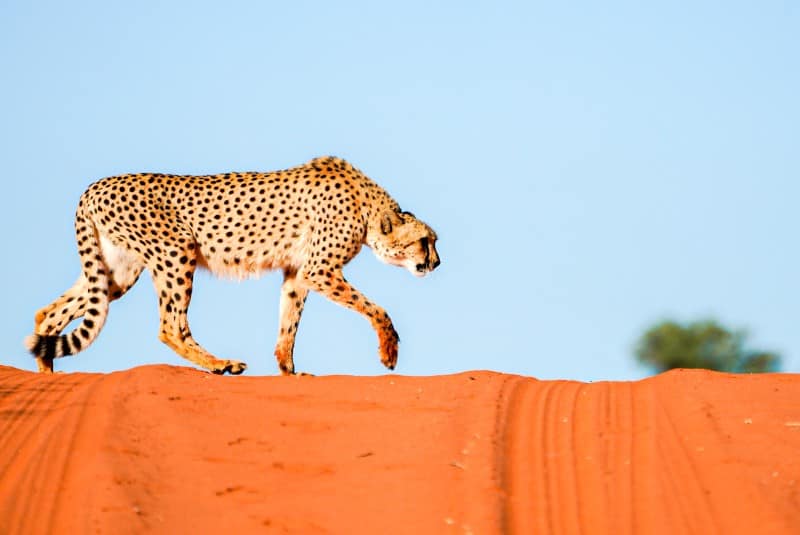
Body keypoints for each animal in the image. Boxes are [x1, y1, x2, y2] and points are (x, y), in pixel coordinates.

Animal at [25, 156, 440, 376]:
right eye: (425, 241)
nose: (436, 262)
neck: (366, 203)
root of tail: (95, 185)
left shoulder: (298, 272)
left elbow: (288, 324)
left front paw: (290, 372)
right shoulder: (319, 270)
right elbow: (376, 308)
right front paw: (389, 349)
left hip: (119, 271)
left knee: (50, 313)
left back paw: (47, 375)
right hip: (175, 251)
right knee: (171, 327)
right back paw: (219, 364)